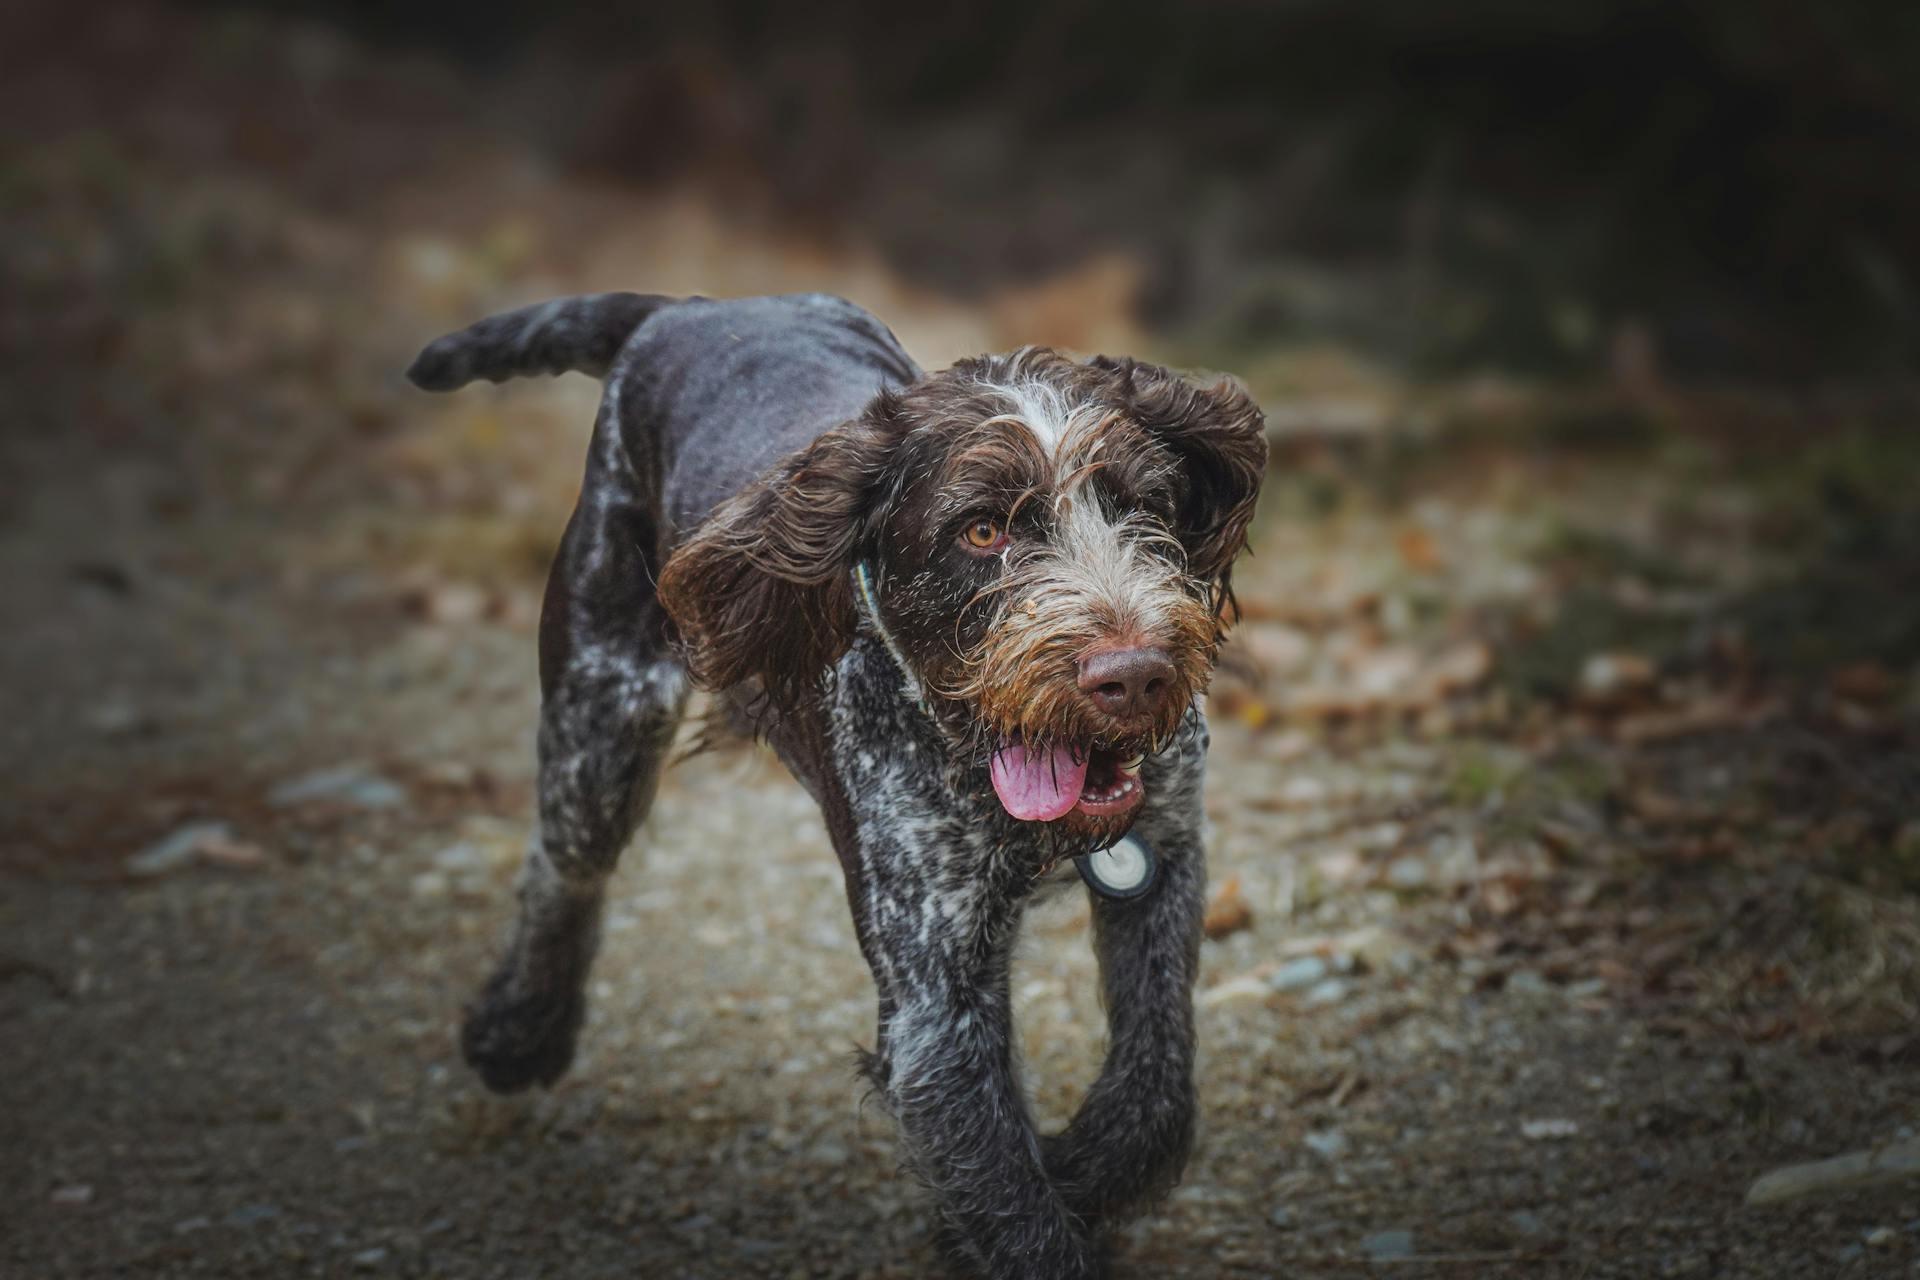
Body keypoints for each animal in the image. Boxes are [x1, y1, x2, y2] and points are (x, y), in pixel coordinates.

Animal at [412, 293, 1267, 1280]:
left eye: (1142, 504)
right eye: (982, 531)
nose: (1133, 676)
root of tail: (688, 308)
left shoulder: (1160, 856)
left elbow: (1153, 1091)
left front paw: (1071, 1173)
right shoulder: (937, 1002)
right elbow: (1010, 1197)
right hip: (601, 716)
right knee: (564, 869)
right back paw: (521, 1029)